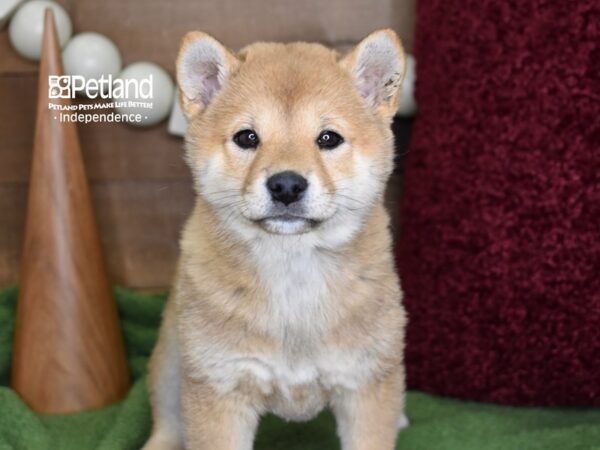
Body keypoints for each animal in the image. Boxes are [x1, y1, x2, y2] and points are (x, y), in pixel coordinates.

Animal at [144, 29, 410, 450]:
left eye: (328, 138)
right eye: (247, 137)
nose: (286, 184)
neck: (292, 276)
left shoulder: (365, 382)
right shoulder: (221, 387)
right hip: (175, 361)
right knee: (168, 420)